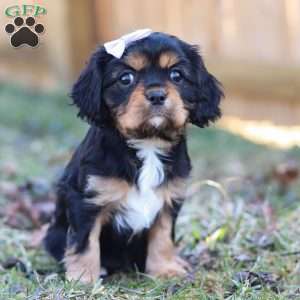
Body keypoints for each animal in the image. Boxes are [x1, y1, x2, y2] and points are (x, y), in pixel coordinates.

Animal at [44, 31, 223, 282]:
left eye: (177, 75)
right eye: (125, 78)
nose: (157, 95)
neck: (148, 143)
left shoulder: (170, 199)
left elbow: (163, 237)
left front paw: (165, 269)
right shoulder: (86, 200)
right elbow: (85, 242)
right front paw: (83, 278)